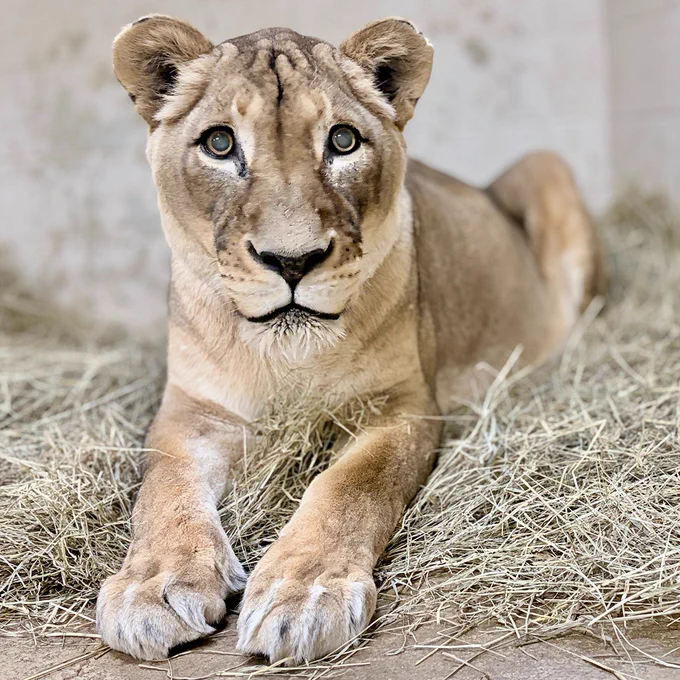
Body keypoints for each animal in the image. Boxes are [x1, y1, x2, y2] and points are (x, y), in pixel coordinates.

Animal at [96, 15, 605, 664]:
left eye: (341, 142)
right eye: (220, 144)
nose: (293, 261)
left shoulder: (403, 406)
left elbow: (349, 485)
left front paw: (303, 593)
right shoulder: (192, 409)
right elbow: (163, 485)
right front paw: (153, 587)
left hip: (545, 167)